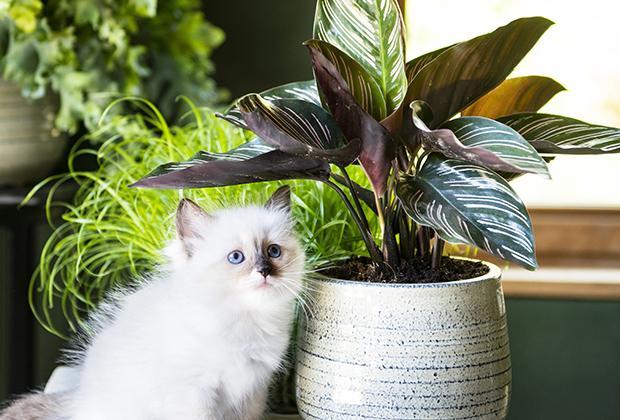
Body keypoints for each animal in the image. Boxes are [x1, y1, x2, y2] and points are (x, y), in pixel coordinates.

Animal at [0, 186, 306, 420]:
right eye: (236, 258)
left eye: (273, 251)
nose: (264, 271)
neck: (245, 319)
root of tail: (77, 402)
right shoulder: (195, 393)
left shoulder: (252, 393)